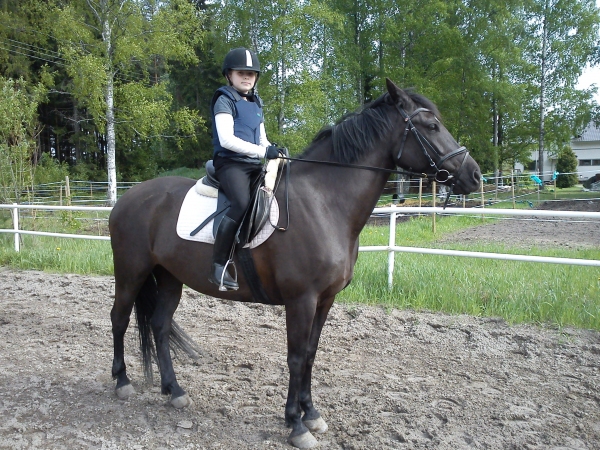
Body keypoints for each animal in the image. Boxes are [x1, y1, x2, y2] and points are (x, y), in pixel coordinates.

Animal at [108, 78, 482, 448]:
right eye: (431, 126)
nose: (475, 175)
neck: (324, 202)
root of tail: (128, 197)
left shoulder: (325, 299)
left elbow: (312, 354)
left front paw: (311, 413)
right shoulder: (301, 299)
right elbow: (296, 356)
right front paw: (296, 425)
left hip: (169, 276)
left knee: (159, 324)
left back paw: (174, 391)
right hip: (131, 273)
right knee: (119, 319)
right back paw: (122, 382)